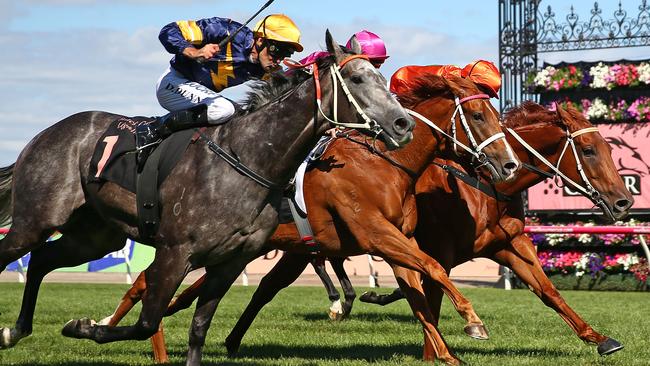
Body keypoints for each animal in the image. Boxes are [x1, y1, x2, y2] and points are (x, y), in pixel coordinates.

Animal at [98, 73, 520, 364]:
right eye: (478, 115)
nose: (509, 164)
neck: (383, 163)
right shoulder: (376, 234)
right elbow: (433, 267)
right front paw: (473, 321)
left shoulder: (395, 239)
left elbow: (419, 293)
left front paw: (446, 352)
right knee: (147, 282)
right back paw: (132, 336)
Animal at [139, 101, 632, 362]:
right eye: (590, 150)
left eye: (609, 147)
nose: (624, 202)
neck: (480, 183)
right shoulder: (432, 249)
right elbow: (429, 293)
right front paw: (441, 346)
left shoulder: (507, 244)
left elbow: (549, 292)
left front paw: (600, 339)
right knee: (157, 279)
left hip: (277, 249)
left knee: (254, 288)